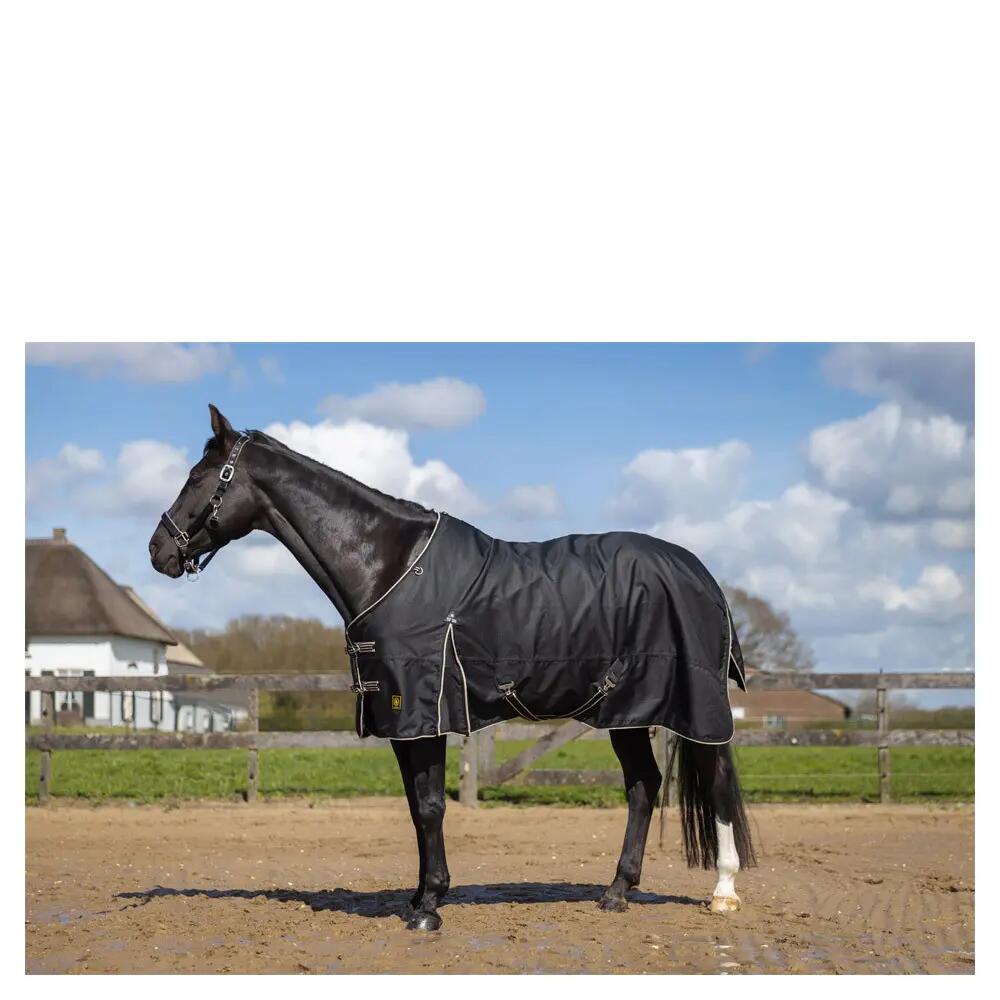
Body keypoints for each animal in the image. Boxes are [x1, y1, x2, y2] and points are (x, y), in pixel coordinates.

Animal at [149, 405, 756, 932]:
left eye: (199, 477)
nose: (158, 551)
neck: (388, 563)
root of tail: (701, 574)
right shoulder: (398, 717)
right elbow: (417, 808)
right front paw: (422, 895)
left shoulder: (425, 710)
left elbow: (432, 805)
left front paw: (429, 908)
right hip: (626, 711)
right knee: (643, 786)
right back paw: (617, 892)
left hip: (687, 707)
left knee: (716, 783)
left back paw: (723, 892)